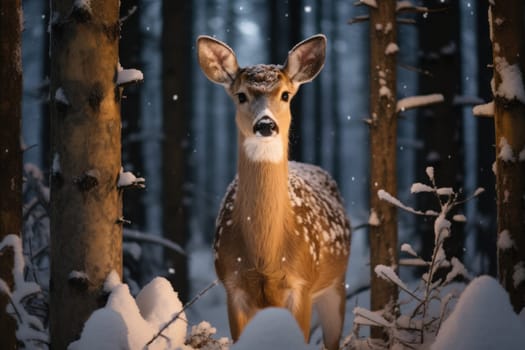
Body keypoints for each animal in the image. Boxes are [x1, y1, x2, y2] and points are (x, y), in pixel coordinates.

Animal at [196, 33, 352, 350]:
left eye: (285, 95)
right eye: (241, 95)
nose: (266, 124)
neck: (265, 255)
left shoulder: (301, 284)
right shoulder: (233, 286)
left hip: (336, 284)